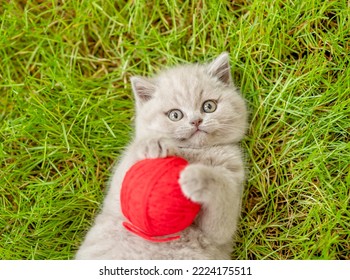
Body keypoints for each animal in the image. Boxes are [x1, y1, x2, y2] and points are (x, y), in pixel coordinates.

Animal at [75, 53, 247, 260]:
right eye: (175, 115)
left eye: (209, 106)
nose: (196, 121)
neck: (195, 153)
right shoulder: (121, 185)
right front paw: (153, 143)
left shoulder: (223, 220)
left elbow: (221, 192)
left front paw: (196, 176)